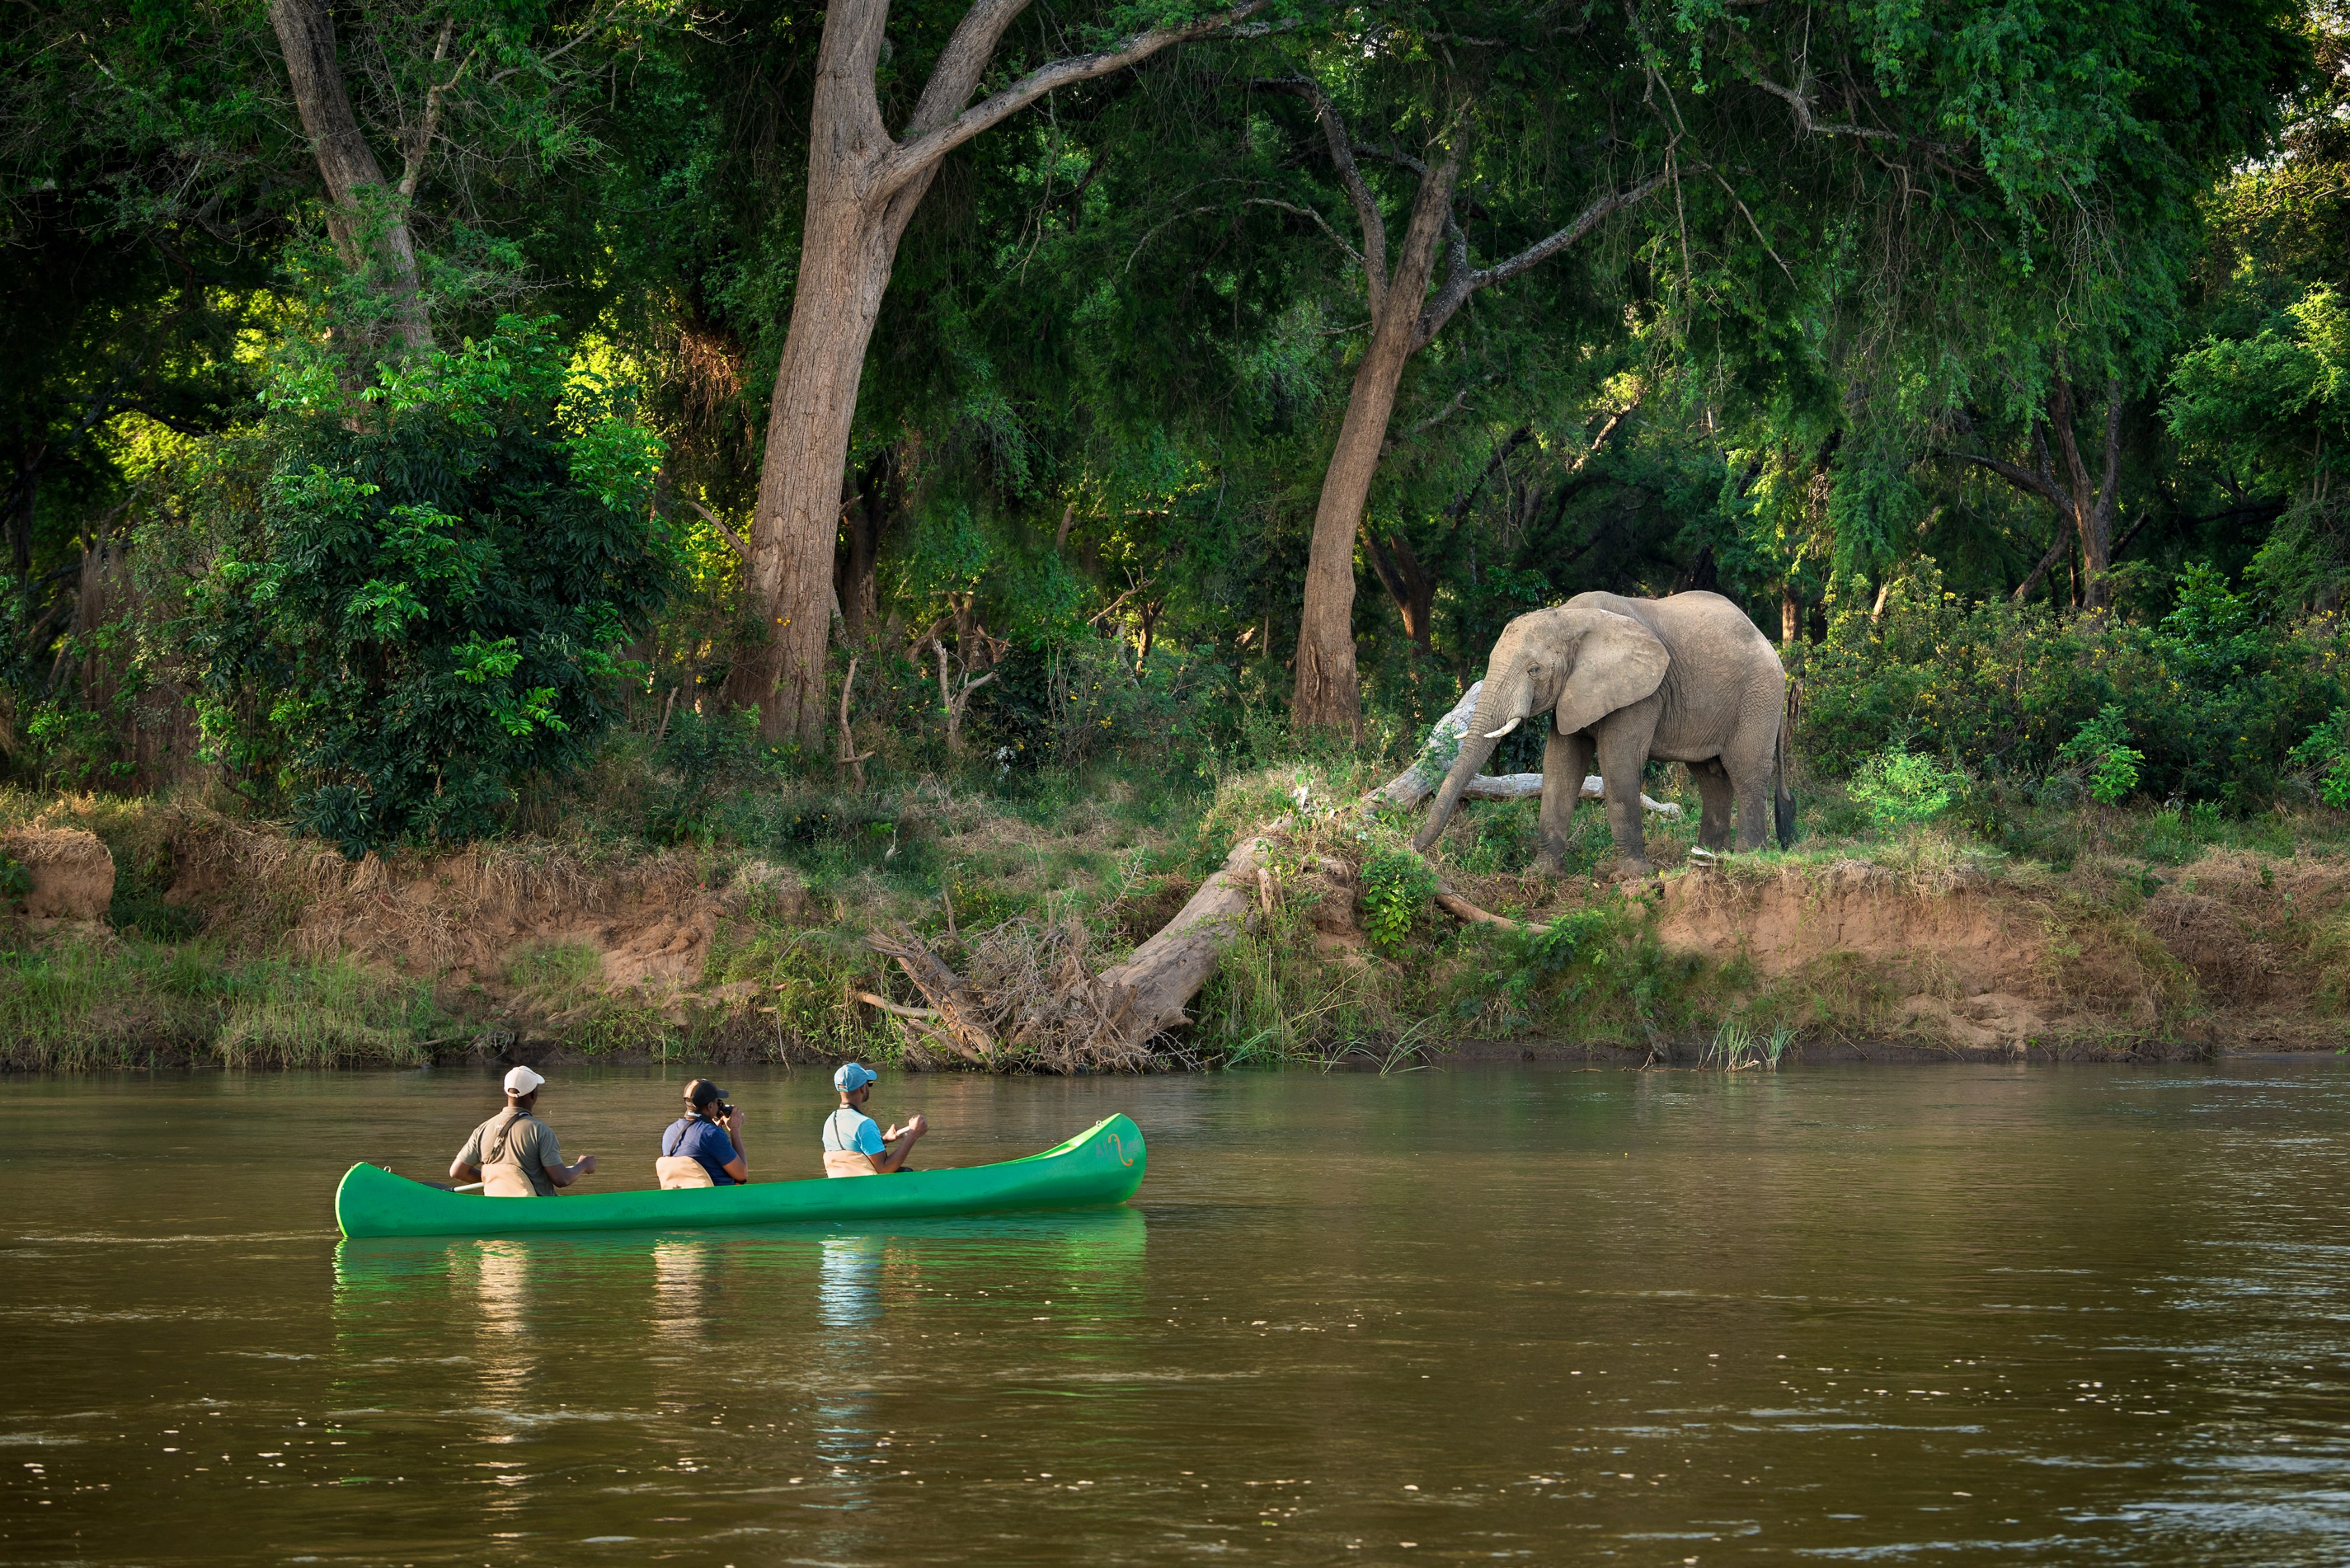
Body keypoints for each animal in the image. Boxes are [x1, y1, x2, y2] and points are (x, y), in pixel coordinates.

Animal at [1410, 590, 1793, 877]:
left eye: (1534, 670)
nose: (1412, 851)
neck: (1569, 617)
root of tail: (1769, 644)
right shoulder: (1574, 690)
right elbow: (1561, 763)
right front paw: (1541, 875)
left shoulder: (1641, 691)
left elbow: (1616, 759)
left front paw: (1632, 877)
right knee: (1710, 775)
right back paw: (1706, 859)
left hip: (1759, 695)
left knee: (1745, 770)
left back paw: (1746, 859)